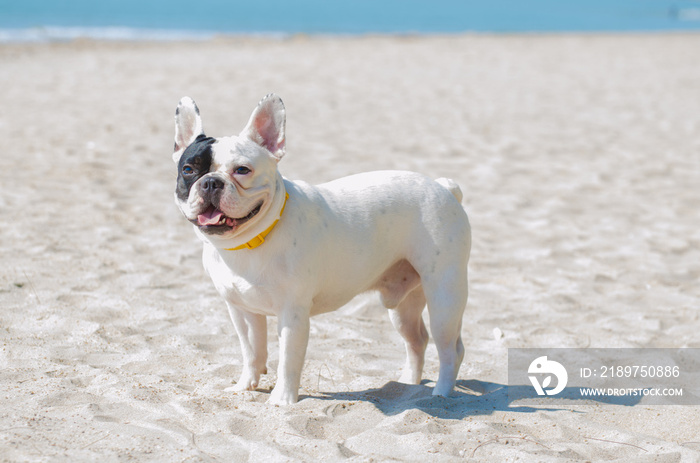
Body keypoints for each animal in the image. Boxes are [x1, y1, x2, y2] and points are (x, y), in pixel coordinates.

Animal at [172, 95, 474, 406]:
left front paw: (282, 400)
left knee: (450, 348)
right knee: (417, 340)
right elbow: (252, 351)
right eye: (188, 170)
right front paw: (245, 386)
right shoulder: (242, 311)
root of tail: (443, 187)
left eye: (242, 170)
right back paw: (408, 385)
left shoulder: (292, 314)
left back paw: (441, 394)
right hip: (403, 306)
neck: (249, 242)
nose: (211, 182)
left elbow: (288, 359)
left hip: (444, 298)